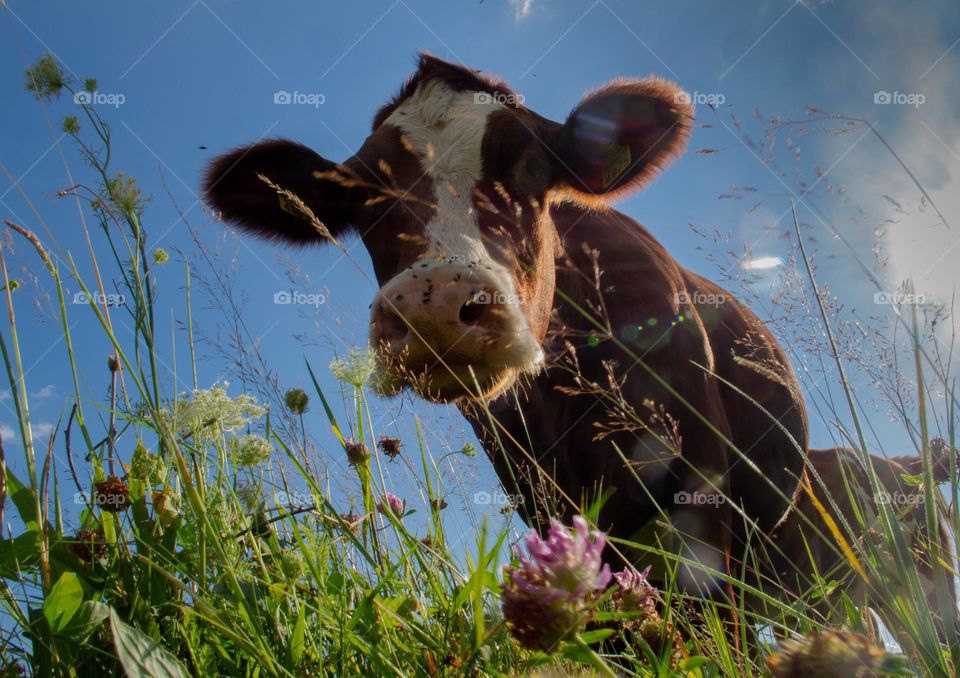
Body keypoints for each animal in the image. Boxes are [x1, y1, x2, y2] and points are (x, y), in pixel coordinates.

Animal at [202, 51, 952, 628]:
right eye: (361, 196)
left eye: (533, 167)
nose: (436, 303)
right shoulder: (552, 518)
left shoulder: (702, 510)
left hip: (921, 583)